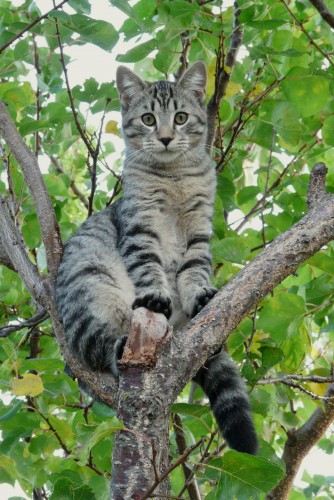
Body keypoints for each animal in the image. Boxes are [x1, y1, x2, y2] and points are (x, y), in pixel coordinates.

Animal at [55, 61, 258, 454]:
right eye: (148, 119)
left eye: (180, 117)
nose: (164, 137)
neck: (174, 178)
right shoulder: (140, 229)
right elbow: (148, 267)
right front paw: (155, 295)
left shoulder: (198, 232)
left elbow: (195, 271)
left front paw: (199, 294)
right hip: (90, 287)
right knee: (98, 347)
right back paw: (118, 345)